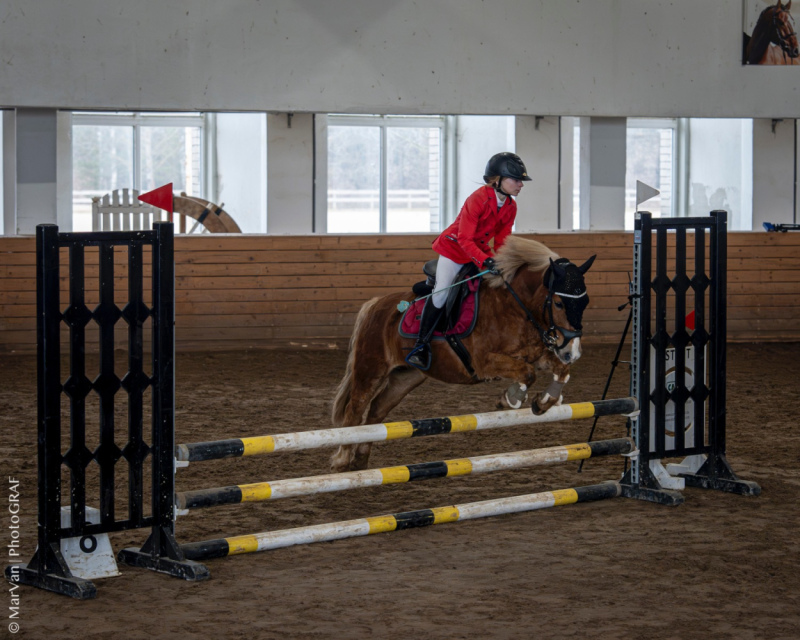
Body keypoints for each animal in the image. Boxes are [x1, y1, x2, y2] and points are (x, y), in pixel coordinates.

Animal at [330, 238, 592, 472]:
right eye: (558, 303)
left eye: (585, 302)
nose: (572, 352)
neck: (516, 307)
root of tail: (375, 304)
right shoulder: (485, 362)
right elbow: (527, 374)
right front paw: (510, 398)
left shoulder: (536, 356)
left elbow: (561, 371)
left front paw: (545, 401)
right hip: (370, 369)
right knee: (355, 410)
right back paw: (342, 460)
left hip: (405, 377)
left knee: (376, 411)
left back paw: (360, 459)